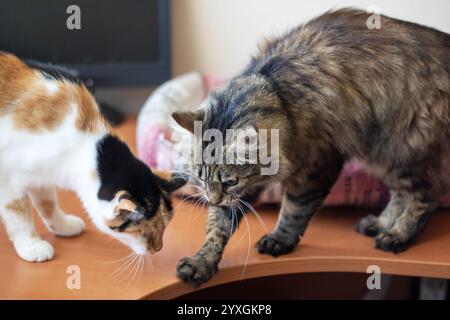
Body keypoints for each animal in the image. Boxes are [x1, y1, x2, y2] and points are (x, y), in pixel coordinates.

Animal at [0, 52, 186, 262]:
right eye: (141, 231)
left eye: (165, 225)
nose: (158, 249)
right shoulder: (9, 181)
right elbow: (18, 215)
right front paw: (32, 246)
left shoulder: (40, 175)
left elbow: (48, 203)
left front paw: (62, 225)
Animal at [172, 8, 450, 288]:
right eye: (200, 177)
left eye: (230, 181)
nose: (211, 199)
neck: (280, 98)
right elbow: (216, 229)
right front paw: (201, 262)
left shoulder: (316, 168)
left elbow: (294, 211)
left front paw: (280, 240)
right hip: (382, 155)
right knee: (401, 194)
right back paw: (380, 224)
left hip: (405, 151)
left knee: (425, 197)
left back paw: (397, 236)